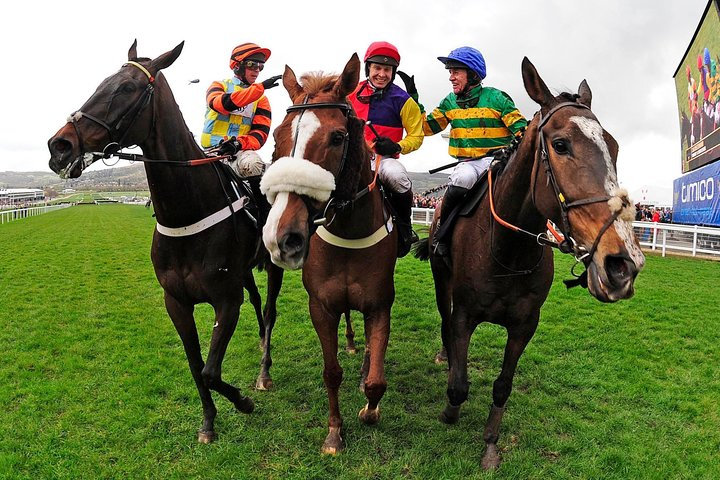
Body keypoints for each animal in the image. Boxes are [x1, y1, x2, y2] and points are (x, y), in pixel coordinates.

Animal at [47, 40, 284, 443]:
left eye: (126, 88)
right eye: (101, 82)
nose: (59, 146)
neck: (188, 217)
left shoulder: (225, 300)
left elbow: (210, 370)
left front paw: (243, 402)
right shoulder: (176, 301)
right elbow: (196, 365)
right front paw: (208, 421)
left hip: (275, 265)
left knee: (269, 312)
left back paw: (265, 371)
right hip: (244, 273)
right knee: (256, 304)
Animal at [260, 54, 398, 454]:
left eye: (337, 137)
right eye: (277, 136)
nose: (282, 237)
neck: (348, 232)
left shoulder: (380, 304)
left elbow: (377, 380)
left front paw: (369, 409)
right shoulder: (320, 305)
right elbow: (331, 371)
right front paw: (334, 432)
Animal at [414, 57, 645, 470]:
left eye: (614, 146)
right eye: (560, 144)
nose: (623, 263)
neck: (507, 252)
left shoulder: (525, 324)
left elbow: (503, 387)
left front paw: (490, 444)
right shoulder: (465, 315)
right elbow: (458, 384)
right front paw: (450, 411)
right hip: (442, 280)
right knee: (443, 319)